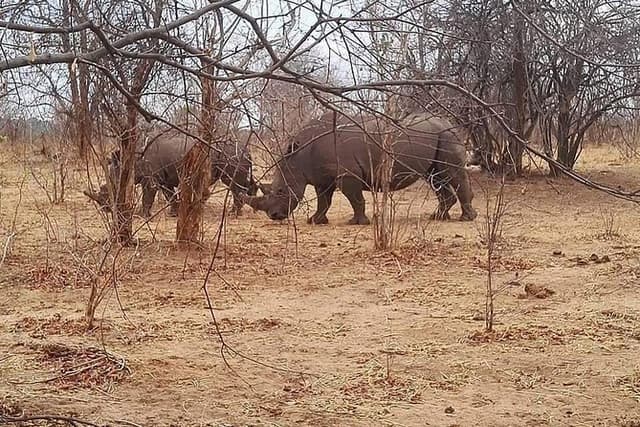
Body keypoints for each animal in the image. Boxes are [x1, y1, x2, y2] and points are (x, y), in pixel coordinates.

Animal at [85, 130, 257, 217]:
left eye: (112, 187)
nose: (106, 209)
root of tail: (247, 150)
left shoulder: (151, 178)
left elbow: (148, 196)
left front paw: (143, 216)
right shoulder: (163, 178)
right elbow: (169, 195)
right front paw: (173, 214)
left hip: (232, 155)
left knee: (233, 184)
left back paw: (233, 214)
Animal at [243, 112, 477, 224]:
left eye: (281, 190)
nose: (274, 216)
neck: (298, 157)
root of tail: (450, 123)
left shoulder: (347, 175)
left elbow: (355, 199)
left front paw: (357, 222)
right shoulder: (323, 177)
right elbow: (323, 200)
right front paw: (315, 221)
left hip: (447, 136)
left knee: (451, 174)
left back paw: (466, 219)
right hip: (438, 137)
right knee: (437, 178)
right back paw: (437, 217)